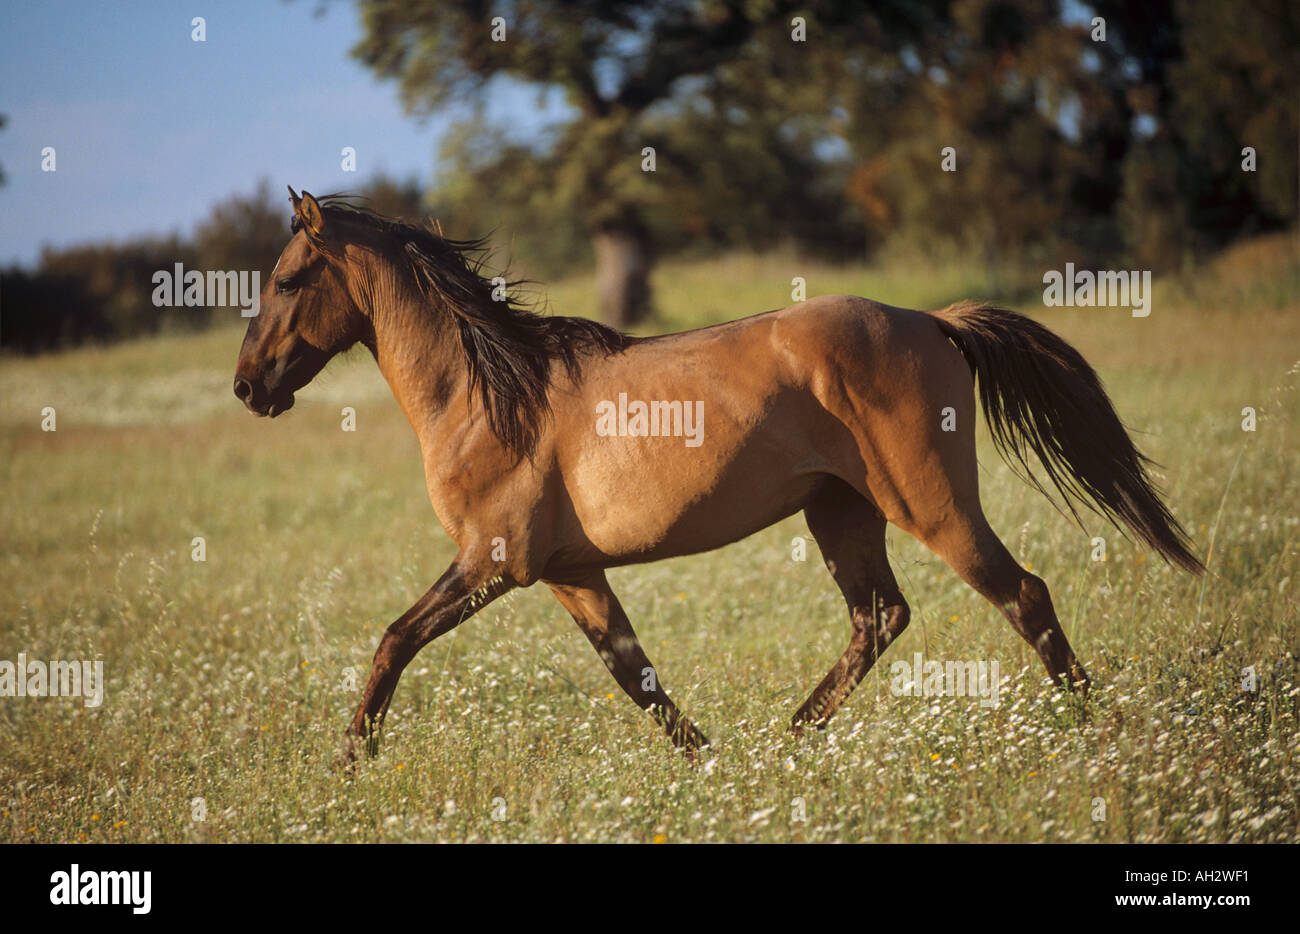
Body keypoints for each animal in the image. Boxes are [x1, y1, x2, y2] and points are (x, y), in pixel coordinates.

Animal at [236, 189, 1206, 770]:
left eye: (286, 278)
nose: (248, 388)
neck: (489, 396)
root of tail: (932, 320)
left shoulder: (495, 561)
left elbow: (393, 640)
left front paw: (351, 764)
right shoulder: (571, 574)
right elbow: (636, 675)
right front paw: (708, 765)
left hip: (930, 505)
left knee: (1023, 595)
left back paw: (1096, 730)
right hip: (841, 512)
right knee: (880, 617)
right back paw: (789, 740)